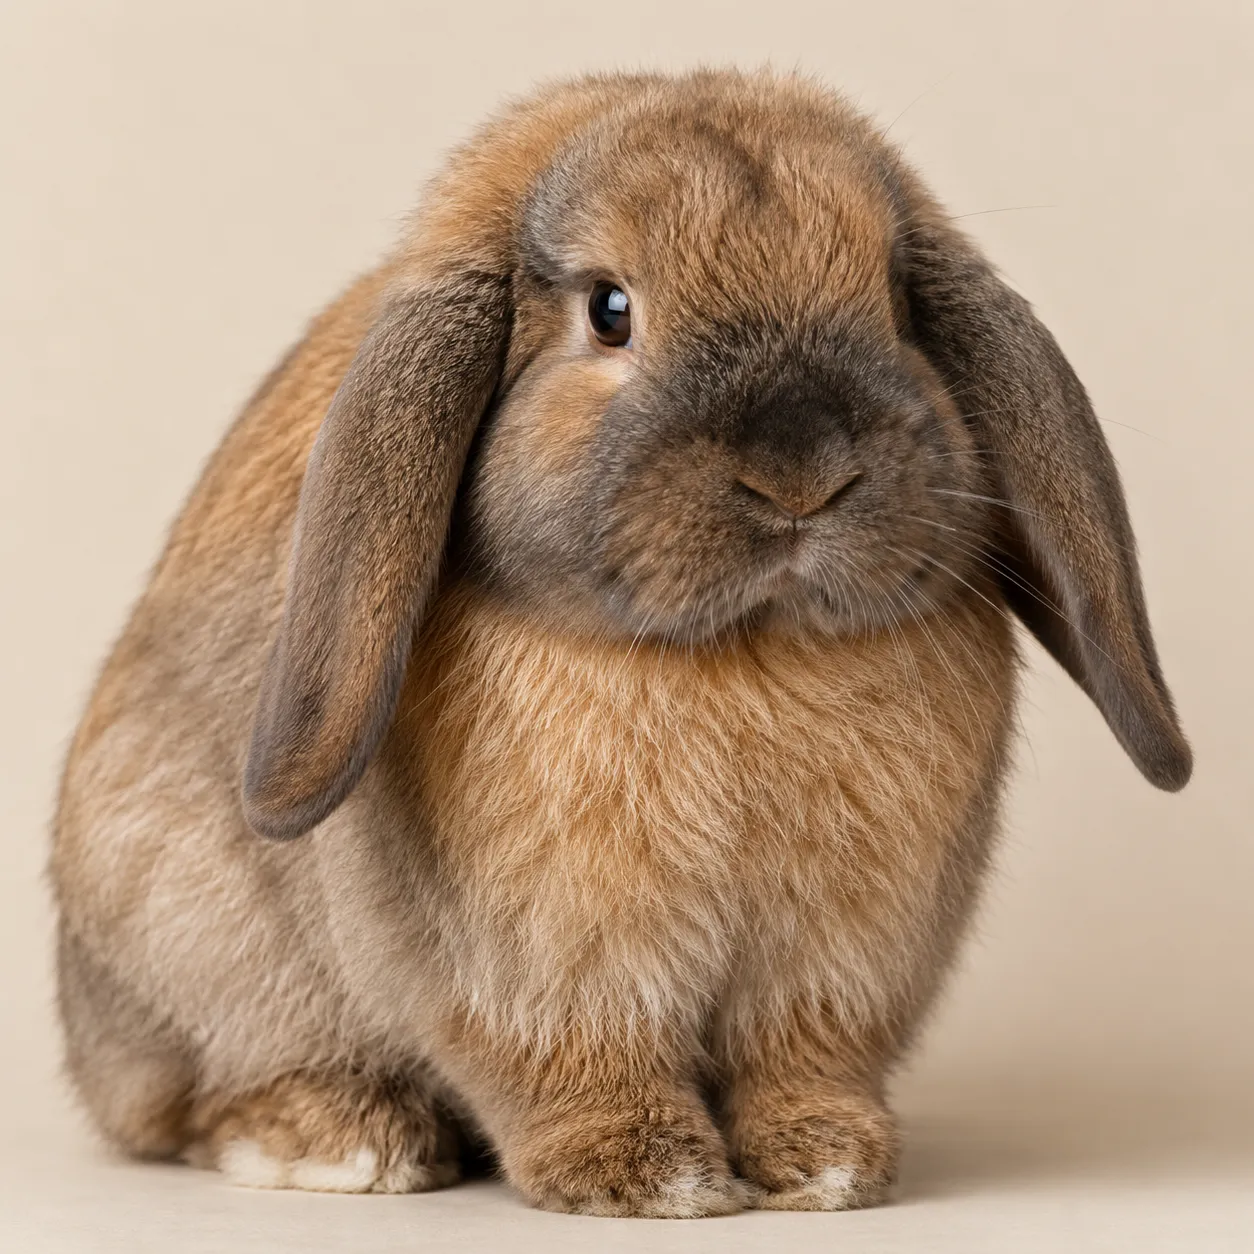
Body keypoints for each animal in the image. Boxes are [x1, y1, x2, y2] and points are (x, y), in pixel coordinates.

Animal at [50, 67, 1191, 1218]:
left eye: (896, 303)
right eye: (611, 310)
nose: (802, 469)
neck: (744, 654)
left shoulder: (841, 959)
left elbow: (803, 1060)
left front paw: (828, 1164)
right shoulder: (546, 963)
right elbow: (578, 1060)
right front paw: (650, 1176)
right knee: (204, 1098)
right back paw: (346, 1139)